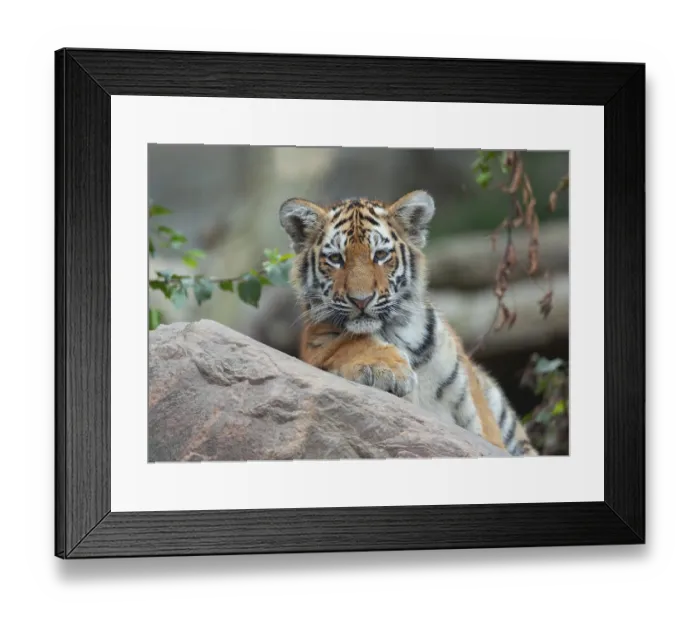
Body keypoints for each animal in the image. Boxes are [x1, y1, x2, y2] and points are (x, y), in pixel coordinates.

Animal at [278, 189, 538, 456]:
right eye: (335, 259)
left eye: (381, 255)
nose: (361, 301)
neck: (395, 331)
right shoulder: (314, 344)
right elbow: (346, 344)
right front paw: (391, 369)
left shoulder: (477, 412)